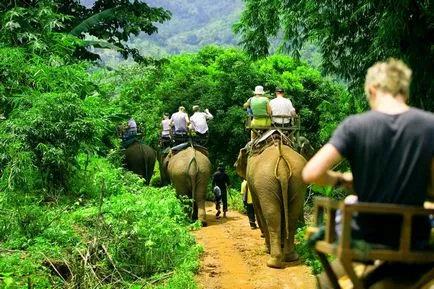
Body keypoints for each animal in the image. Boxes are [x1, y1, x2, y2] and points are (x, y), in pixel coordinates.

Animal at [236, 138, 306, 268]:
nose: (234, 165)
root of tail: (281, 159)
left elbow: (258, 208)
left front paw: (266, 248)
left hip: (265, 183)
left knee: (271, 216)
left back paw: (273, 262)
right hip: (298, 181)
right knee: (292, 216)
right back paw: (290, 257)